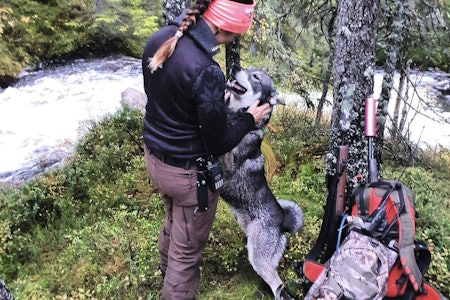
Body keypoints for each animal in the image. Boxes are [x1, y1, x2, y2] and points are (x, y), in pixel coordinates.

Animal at [220, 66, 304, 300]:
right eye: (248, 70)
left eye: (256, 77)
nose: (235, 67)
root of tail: (283, 220)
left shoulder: (227, 163)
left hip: (258, 257)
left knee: (279, 288)